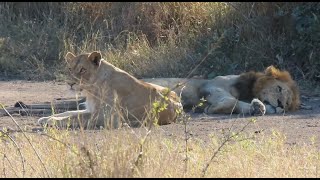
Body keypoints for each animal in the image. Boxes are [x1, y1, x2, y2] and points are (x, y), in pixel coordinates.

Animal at [37, 51, 182, 129]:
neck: (91, 90)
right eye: (70, 69)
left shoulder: (108, 116)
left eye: (83, 70)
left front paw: (51, 121)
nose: (70, 83)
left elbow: (75, 117)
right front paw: (45, 118)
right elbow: (68, 112)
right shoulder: (91, 109)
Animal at [142, 65, 300, 115]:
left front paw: (257, 107)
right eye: (279, 89)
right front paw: (214, 108)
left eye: (287, 103)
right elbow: (231, 101)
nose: (280, 104)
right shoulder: (211, 85)